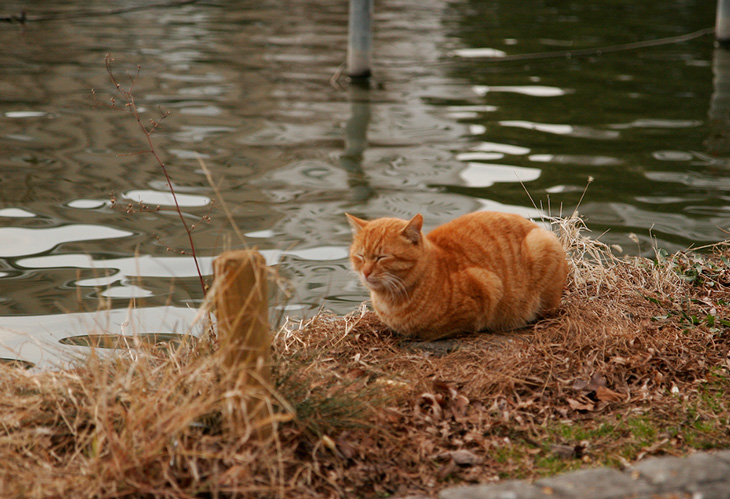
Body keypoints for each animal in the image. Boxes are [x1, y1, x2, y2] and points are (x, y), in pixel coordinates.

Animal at [344, 211, 564, 340]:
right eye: (360, 256)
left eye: (382, 257)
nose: (365, 272)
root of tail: (534, 226)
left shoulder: (487, 287)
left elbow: (435, 331)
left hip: (542, 245)